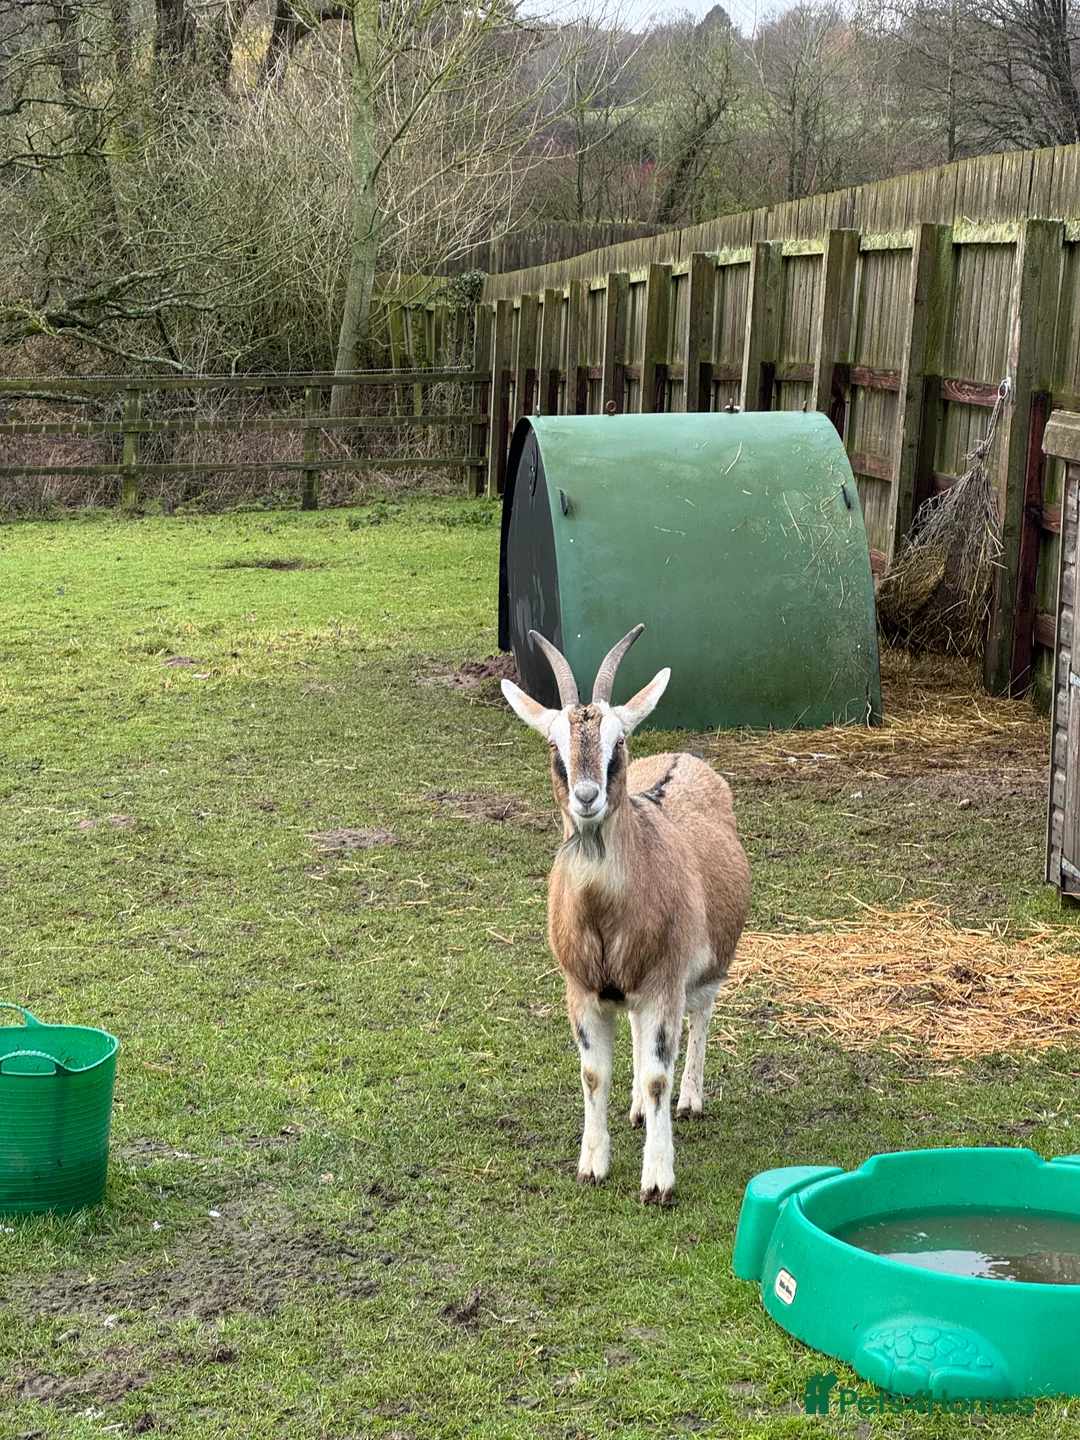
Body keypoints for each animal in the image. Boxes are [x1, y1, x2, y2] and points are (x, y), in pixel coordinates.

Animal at [502, 624, 750, 1205]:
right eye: (555, 745)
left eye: (618, 742)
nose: (587, 796)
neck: (604, 914)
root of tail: (686, 756)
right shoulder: (582, 991)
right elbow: (594, 1075)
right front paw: (592, 1166)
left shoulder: (664, 983)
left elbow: (660, 1073)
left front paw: (657, 1180)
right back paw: (637, 1108)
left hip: (706, 965)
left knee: (701, 1016)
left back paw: (689, 1100)